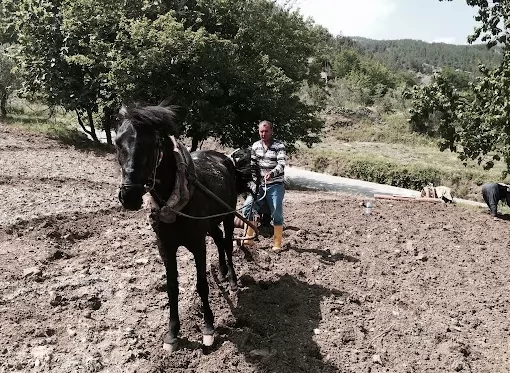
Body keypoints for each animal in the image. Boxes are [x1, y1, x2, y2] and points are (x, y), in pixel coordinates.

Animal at [116, 105, 255, 352]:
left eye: (151, 143)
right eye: (117, 142)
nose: (129, 196)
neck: (174, 202)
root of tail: (225, 159)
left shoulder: (197, 245)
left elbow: (201, 284)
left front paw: (208, 328)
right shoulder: (165, 247)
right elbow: (172, 287)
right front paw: (172, 333)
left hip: (229, 216)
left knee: (228, 244)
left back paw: (231, 281)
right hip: (211, 222)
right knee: (219, 239)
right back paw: (221, 271)